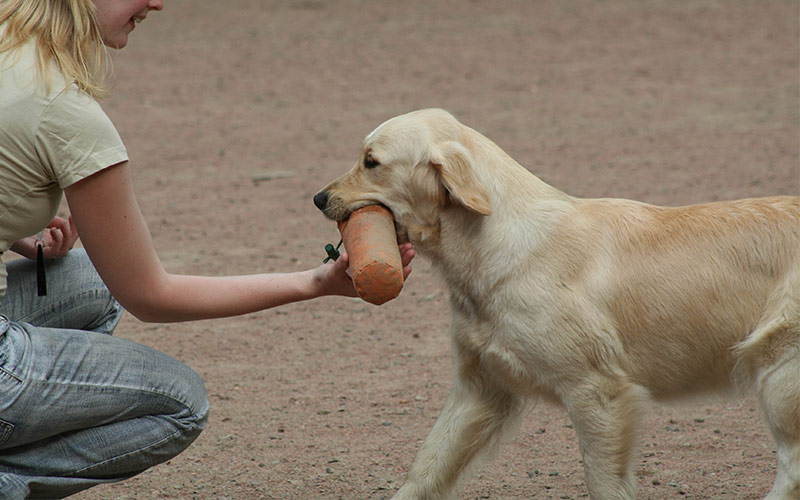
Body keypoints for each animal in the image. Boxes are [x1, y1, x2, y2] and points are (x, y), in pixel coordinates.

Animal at [314, 107, 800, 498]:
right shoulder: (480, 388)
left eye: (371, 162)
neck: (493, 245)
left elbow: (604, 485)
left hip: (781, 377)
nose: (318, 198)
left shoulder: (598, 393)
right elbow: (426, 468)